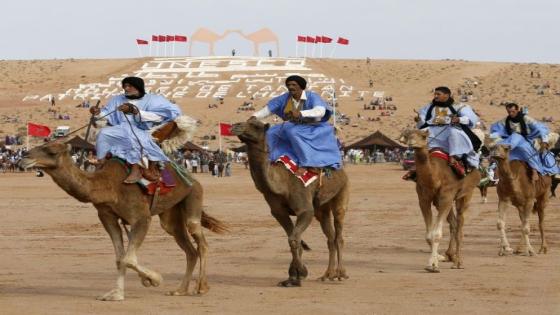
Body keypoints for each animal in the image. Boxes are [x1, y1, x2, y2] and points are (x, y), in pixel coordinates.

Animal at [20, 143, 228, 302]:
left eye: (51, 151)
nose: (24, 156)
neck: (107, 186)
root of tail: (192, 178)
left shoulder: (142, 217)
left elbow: (128, 258)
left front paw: (154, 279)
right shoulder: (107, 216)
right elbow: (120, 258)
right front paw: (116, 294)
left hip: (194, 195)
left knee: (199, 239)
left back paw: (201, 287)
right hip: (170, 214)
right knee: (188, 248)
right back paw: (179, 290)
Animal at [230, 119, 348, 288]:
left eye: (256, 125)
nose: (235, 126)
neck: (281, 185)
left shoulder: (305, 209)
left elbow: (293, 239)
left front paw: (301, 274)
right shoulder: (278, 212)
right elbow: (294, 240)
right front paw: (292, 277)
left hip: (342, 193)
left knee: (339, 234)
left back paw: (341, 274)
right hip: (322, 208)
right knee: (330, 237)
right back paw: (327, 275)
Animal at [398, 130, 482, 272]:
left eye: (423, 136)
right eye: (409, 134)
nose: (411, 142)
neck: (435, 177)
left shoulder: (446, 197)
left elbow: (436, 234)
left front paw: (433, 265)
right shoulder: (424, 200)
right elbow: (429, 235)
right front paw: (437, 258)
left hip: (466, 194)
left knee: (460, 224)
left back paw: (458, 263)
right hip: (440, 203)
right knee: (453, 224)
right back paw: (450, 256)